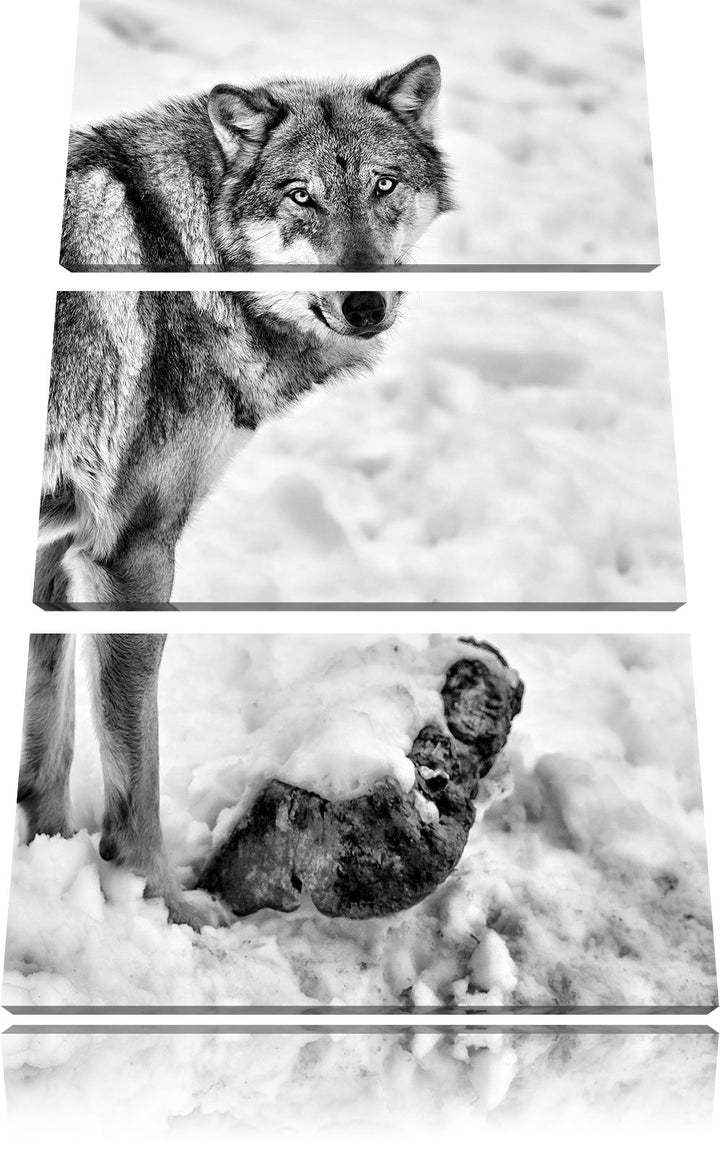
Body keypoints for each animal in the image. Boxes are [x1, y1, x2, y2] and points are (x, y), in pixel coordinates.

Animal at [20, 287, 402, 930]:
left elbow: (49, 737)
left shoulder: (56, 546)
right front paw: (165, 905)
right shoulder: (133, 555)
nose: (366, 306)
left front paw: (50, 853)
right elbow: (137, 777)